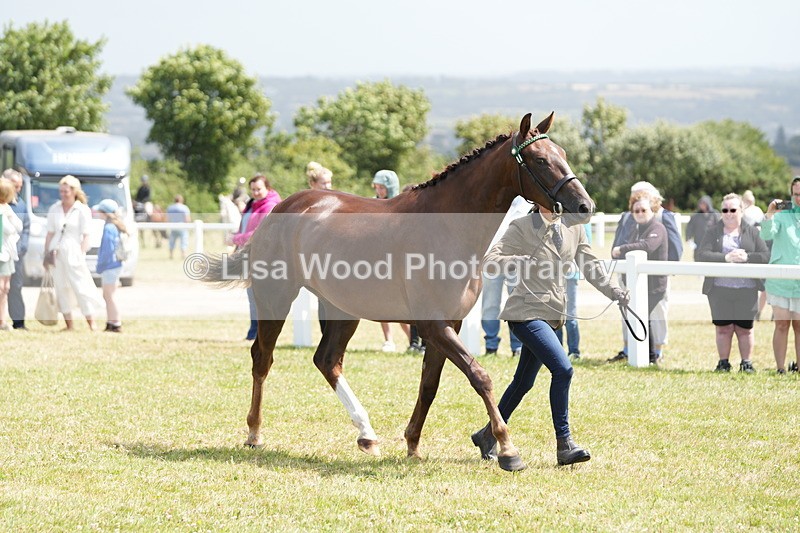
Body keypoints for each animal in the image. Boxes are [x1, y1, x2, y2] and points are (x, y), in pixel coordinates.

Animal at [204, 112, 594, 472]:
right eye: (540, 159)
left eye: (562, 153)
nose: (584, 206)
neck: (448, 226)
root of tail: (281, 209)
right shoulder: (434, 325)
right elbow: (479, 376)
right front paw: (508, 450)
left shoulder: (446, 325)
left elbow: (430, 385)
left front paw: (412, 444)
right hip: (276, 297)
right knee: (262, 359)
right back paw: (254, 433)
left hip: (343, 309)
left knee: (327, 361)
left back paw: (367, 435)